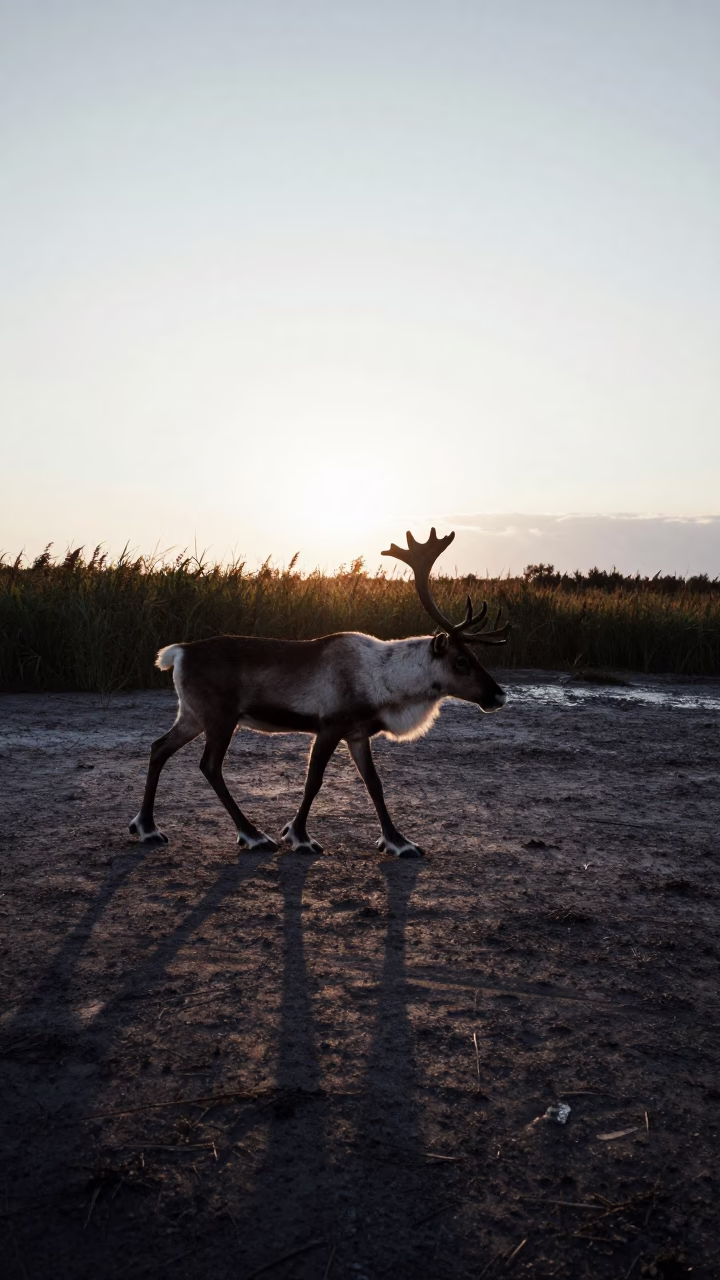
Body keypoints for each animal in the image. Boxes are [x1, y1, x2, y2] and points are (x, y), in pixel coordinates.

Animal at [129, 529, 510, 858]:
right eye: (462, 660)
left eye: (473, 656)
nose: (499, 696)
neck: (385, 680)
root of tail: (179, 652)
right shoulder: (329, 727)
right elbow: (314, 781)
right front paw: (298, 836)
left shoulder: (357, 734)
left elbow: (375, 784)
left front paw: (398, 842)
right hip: (220, 717)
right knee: (209, 765)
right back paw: (253, 835)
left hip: (192, 715)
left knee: (159, 748)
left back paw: (147, 827)